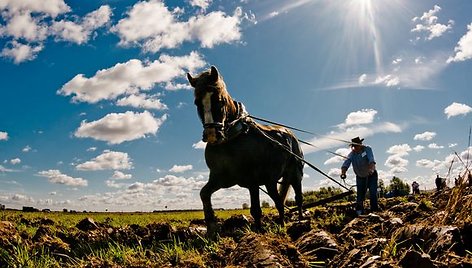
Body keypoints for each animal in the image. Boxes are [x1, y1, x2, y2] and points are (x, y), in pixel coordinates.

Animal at [186, 65, 304, 237]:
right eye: (197, 103)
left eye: (220, 101)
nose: (211, 134)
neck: (231, 139)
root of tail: (290, 135)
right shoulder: (220, 177)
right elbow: (204, 194)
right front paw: (211, 226)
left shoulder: (252, 180)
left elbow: (256, 210)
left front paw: (259, 232)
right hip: (270, 181)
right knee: (279, 202)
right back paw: (281, 224)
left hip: (295, 175)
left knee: (298, 198)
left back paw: (301, 222)